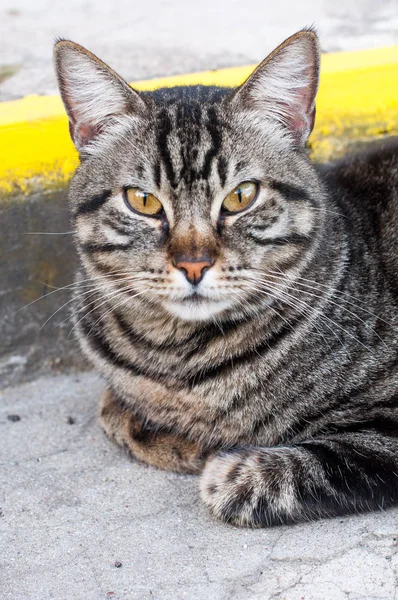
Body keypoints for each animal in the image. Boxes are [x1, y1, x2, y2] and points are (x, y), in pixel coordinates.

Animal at [53, 29, 398, 524]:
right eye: (142, 200)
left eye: (241, 196)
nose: (193, 264)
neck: (175, 359)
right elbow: (113, 413)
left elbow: (248, 475)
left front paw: (220, 456)